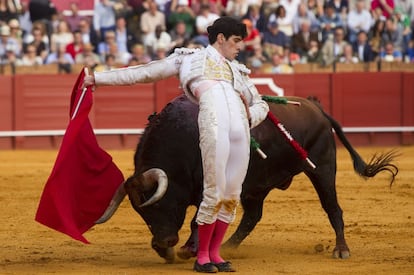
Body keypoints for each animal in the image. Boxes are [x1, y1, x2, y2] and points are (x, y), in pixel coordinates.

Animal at [97, 94, 398, 264]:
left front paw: (188, 250)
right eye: (141, 213)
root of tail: (316, 107)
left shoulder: (209, 187)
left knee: (333, 208)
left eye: (160, 203)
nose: (162, 244)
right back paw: (227, 247)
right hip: (256, 184)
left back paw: (341, 250)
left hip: (322, 168)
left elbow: (197, 219)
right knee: (253, 216)